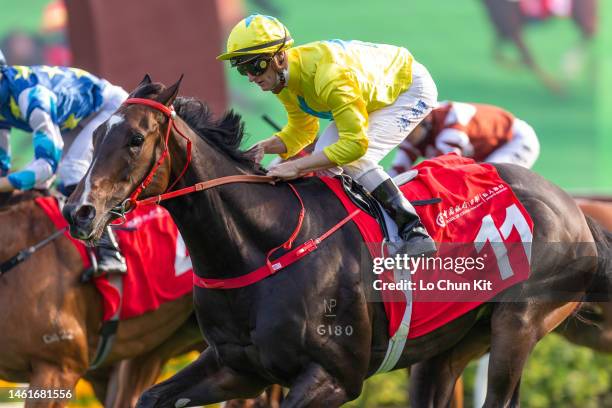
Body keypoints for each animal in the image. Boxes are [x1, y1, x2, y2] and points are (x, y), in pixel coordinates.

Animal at [63, 77, 612, 408]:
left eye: (135, 139)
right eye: (96, 137)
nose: (78, 211)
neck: (264, 246)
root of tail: (574, 209)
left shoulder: (335, 377)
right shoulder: (235, 366)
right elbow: (154, 396)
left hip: (518, 326)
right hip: (450, 344)